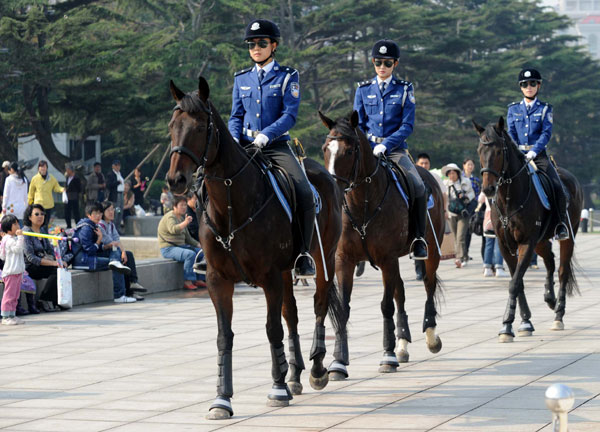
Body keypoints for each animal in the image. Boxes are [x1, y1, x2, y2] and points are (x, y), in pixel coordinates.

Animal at [318, 111, 446, 378]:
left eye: (349, 151)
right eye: (325, 149)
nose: (331, 188)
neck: (363, 201)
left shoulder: (387, 259)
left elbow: (386, 305)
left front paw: (387, 356)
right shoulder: (344, 260)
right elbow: (344, 308)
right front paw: (338, 362)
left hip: (430, 252)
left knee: (428, 285)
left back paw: (430, 336)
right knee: (401, 292)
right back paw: (403, 344)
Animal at [474, 117, 580, 340]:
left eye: (498, 151)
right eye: (480, 150)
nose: (488, 189)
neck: (509, 198)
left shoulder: (526, 243)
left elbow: (515, 282)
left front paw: (508, 324)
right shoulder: (506, 245)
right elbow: (518, 281)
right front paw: (523, 322)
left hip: (567, 236)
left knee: (562, 271)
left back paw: (558, 316)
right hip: (540, 242)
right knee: (550, 261)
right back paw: (549, 298)